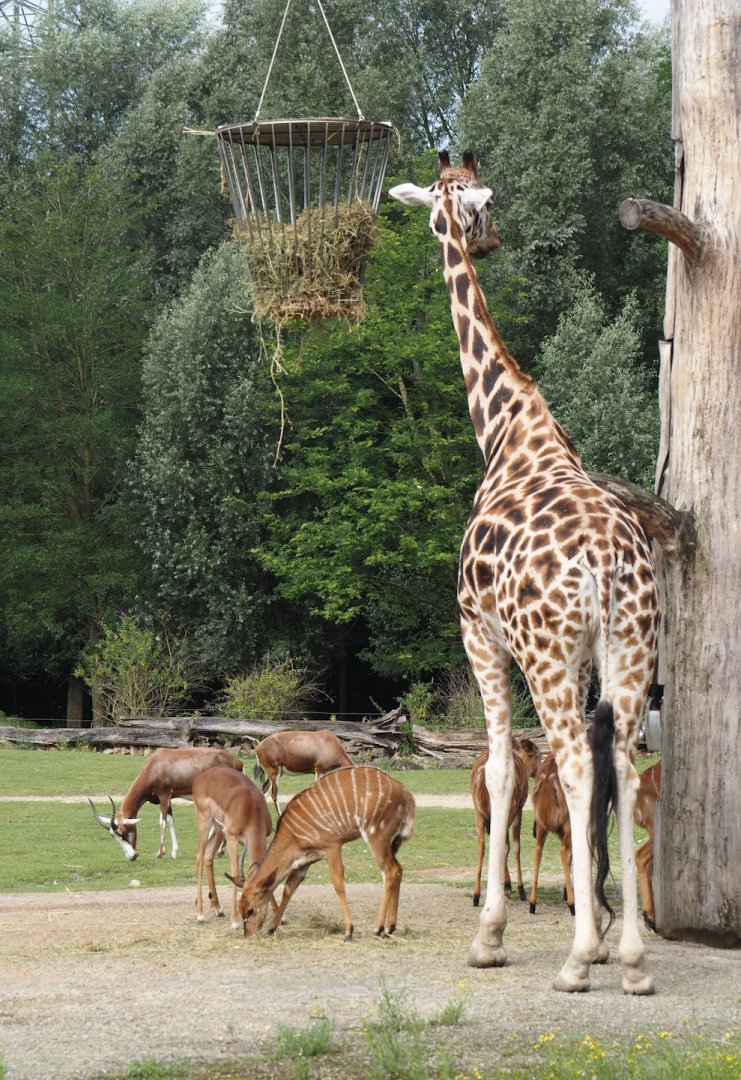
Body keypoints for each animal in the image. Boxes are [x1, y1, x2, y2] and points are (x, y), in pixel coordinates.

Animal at [88, 747, 244, 860]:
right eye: (112, 836)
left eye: (123, 832)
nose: (132, 857)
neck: (156, 763)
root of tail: (237, 762)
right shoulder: (169, 799)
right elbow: (170, 820)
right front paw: (173, 853)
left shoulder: (164, 795)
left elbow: (162, 822)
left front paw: (160, 854)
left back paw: (219, 851)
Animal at [192, 766, 274, 929]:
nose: (255, 926)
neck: (251, 808)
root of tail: (202, 776)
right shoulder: (231, 837)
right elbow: (235, 872)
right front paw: (234, 922)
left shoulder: (263, 838)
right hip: (206, 823)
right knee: (199, 857)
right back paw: (200, 916)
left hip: (219, 829)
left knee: (208, 855)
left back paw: (218, 909)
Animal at [237, 765, 415, 941]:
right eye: (241, 910)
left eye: (250, 910)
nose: (248, 934)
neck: (292, 833)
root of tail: (404, 792)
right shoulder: (306, 860)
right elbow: (289, 888)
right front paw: (272, 927)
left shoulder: (332, 847)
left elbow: (338, 883)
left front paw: (348, 931)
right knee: (398, 869)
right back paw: (389, 927)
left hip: (376, 835)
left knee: (390, 871)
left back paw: (378, 929)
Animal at [471, 737, 543, 905]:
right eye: (540, 755)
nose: (539, 771)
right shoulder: (518, 811)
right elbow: (514, 846)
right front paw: (516, 888)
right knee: (503, 844)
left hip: (478, 812)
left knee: (481, 845)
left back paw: (476, 895)